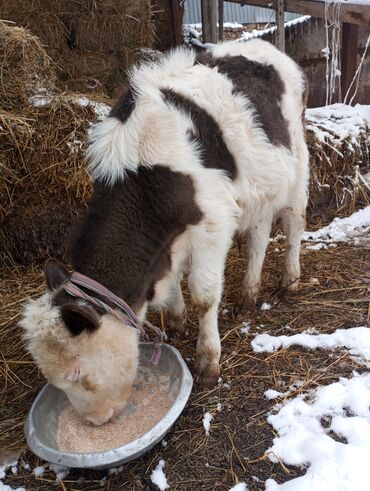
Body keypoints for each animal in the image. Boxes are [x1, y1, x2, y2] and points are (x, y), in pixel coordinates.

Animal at [20, 40, 310, 424]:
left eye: (76, 372)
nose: (95, 421)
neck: (146, 175)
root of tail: (263, 45)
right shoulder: (170, 242)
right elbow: (172, 287)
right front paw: (175, 323)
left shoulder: (213, 222)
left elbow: (204, 295)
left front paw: (207, 361)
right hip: (260, 185)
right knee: (260, 236)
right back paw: (249, 293)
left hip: (297, 165)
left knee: (293, 222)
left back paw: (290, 279)